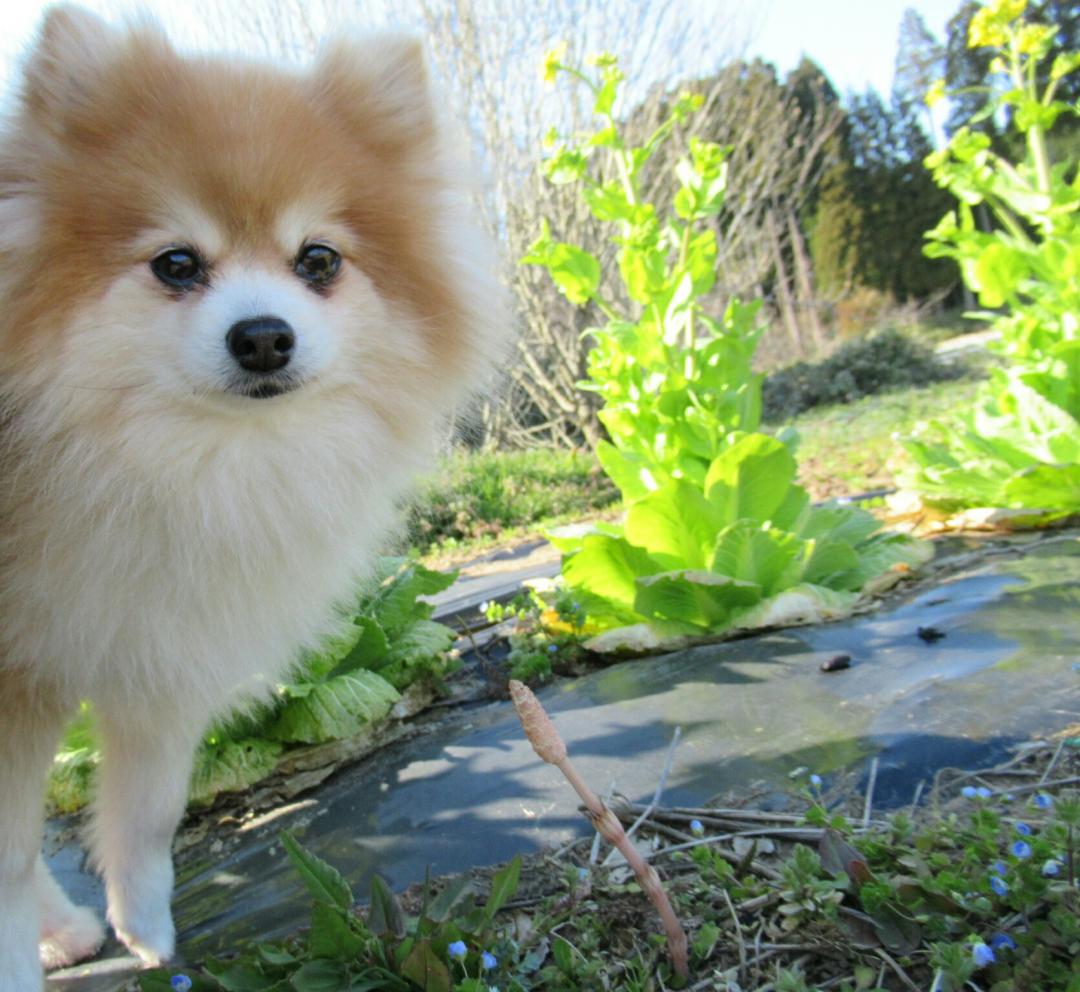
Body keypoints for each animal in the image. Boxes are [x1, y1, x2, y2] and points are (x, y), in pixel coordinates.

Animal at [0, 3, 505, 988]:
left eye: (318, 260)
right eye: (175, 263)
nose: (264, 335)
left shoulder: (155, 648)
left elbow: (149, 814)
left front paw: (146, 930)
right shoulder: (21, 670)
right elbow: (5, 853)